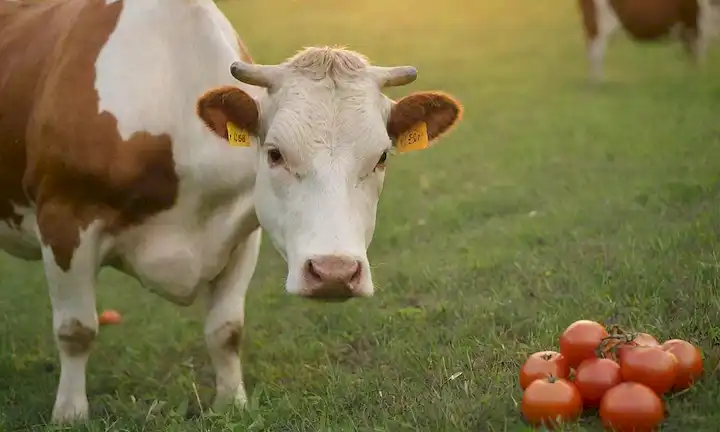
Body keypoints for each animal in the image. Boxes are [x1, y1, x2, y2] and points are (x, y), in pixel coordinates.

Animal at [0, 0, 463, 424]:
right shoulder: (63, 219)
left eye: (381, 157)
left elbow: (226, 330)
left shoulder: (244, 230)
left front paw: (231, 402)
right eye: (274, 154)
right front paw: (70, 414)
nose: (334, 272)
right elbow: (76, 329)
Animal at [577, 0, 720, 81]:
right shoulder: (696, 27)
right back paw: (598, 83)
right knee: (597, 54)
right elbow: (697, 58)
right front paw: (698, 81)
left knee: (592, 54)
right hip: (599, 26)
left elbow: (692, 57)